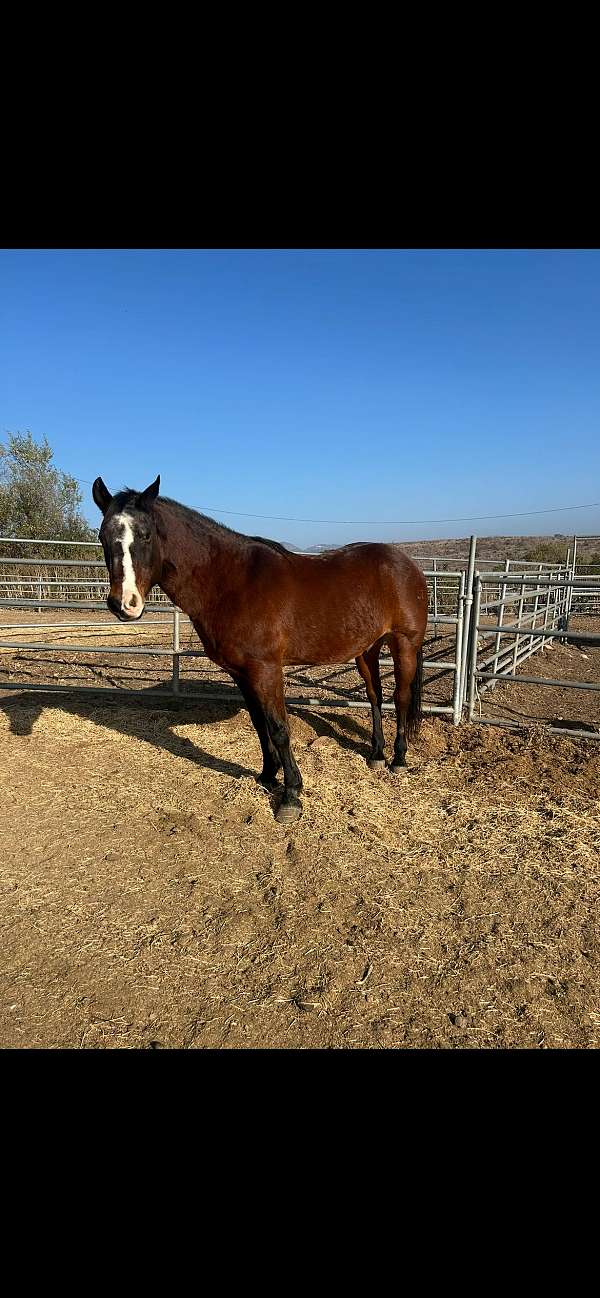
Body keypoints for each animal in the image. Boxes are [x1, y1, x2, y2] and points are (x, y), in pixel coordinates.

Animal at [92, 475, 425, 820]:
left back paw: (399, 759)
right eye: (103, 537)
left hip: (405, 644)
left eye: (145, 535)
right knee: (375, 696)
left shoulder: (266, 669)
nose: (123, 604)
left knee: (400, 697)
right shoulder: (241, 673)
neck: (231, 582)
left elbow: (278, 728)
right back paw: (376, 754)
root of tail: (406, 563)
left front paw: (291, 795)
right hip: (366, 649)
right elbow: (259, 724)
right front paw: (267, 776)